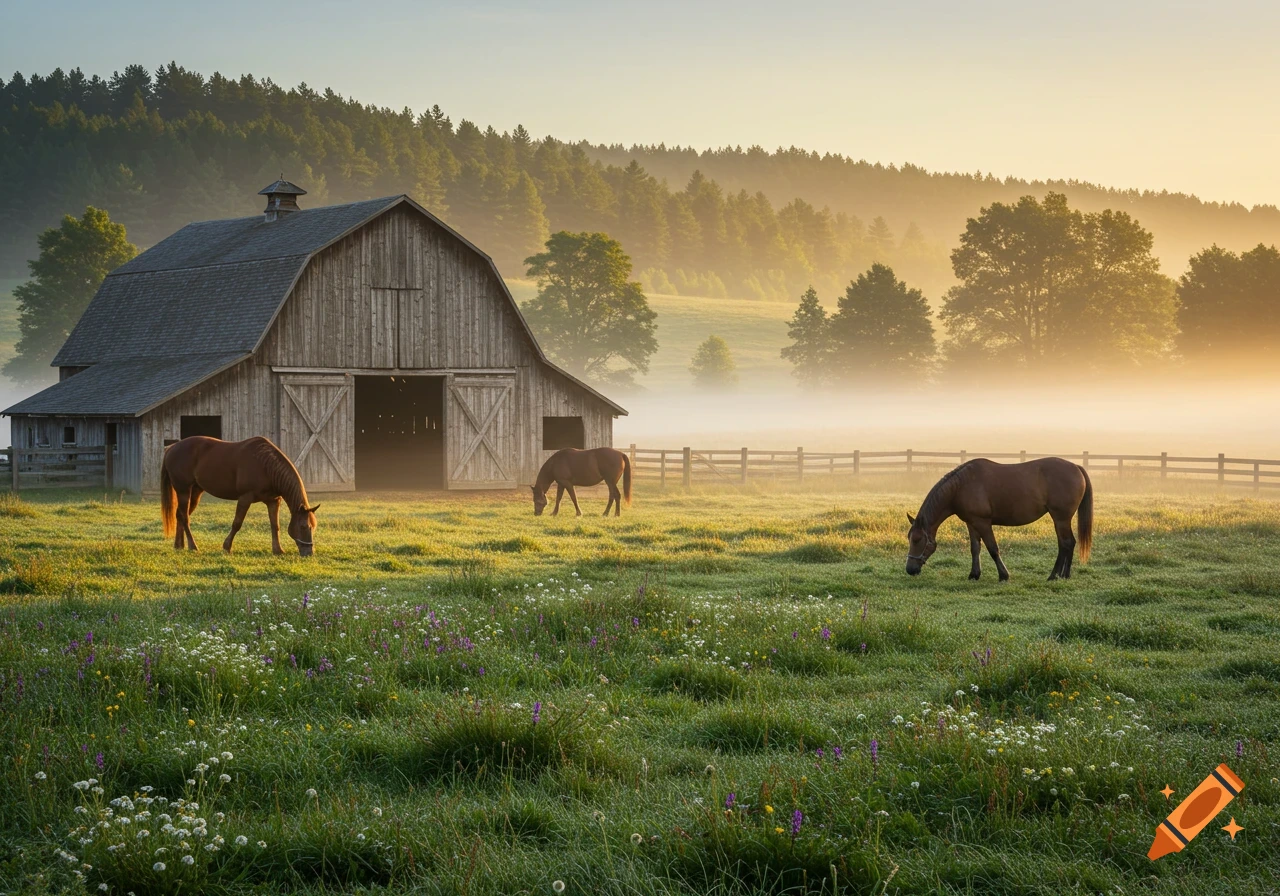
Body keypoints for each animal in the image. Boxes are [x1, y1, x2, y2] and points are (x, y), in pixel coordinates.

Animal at [160, 436, 320, 556]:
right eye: (304, 526)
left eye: (313, 526)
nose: (309, 552)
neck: (266, 465)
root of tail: (170, 448)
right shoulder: (245, 498)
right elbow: (237, 523)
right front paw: (226, 547)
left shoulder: (273, 501)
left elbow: (275, 525)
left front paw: (278, 550)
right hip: (183, 490)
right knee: (185, 517)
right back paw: (193, 546)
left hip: (195, 492)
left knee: (180, 515)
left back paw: (179, 545)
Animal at [905, 457, 1092, 581]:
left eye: (917, 540)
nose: (909, 569)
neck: (961, 486)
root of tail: (1076, 467)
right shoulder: (971, 523)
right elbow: (975, 549)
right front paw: (974, 574)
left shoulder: (983, 523)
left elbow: (993, 549)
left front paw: (1004, 575)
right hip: (1060, 519)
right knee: (1066, 544)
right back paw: (1062, 575)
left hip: (1060, 518)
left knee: (1066, 543)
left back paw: (1056, 575)